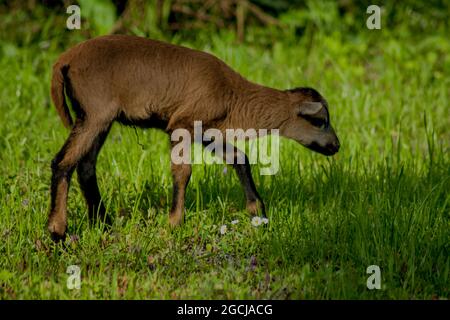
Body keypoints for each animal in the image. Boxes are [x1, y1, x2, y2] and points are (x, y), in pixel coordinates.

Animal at [47, 35, 340, 240]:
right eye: (320, 121)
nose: (336, 146)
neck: (235, 97)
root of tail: (64, 60)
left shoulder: (205, 129)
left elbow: (239, 158)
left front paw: (258, 212)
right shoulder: (182, 124)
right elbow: (183, 172)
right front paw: (175, 223)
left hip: (94, 116)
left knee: (86, 166)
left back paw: (103, 223)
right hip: (96, 112)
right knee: (63, 162)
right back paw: (57, 230)